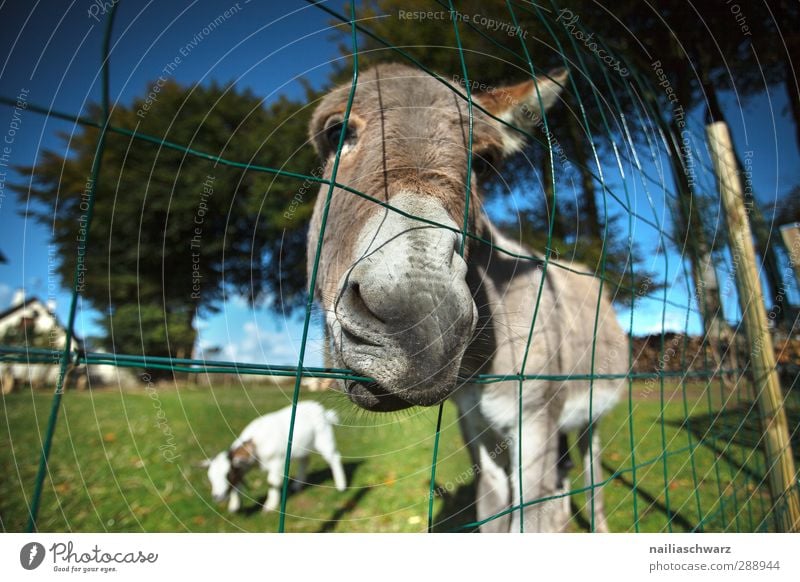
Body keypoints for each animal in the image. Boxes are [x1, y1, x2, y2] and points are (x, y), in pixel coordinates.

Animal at [205, 404, 346, 512]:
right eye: (210, 478)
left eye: (227, 474)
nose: (216, 497)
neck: (255, 444)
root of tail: (324, 412)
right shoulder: (243, 466)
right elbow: (238, 482)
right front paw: (234, 506)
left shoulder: (278, 461)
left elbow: (273, 482)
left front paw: (270, 506)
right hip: (303, 447)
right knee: (305, 461)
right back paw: (298, 485)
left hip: (324, 438)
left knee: (334, 458)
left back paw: (341, 485)